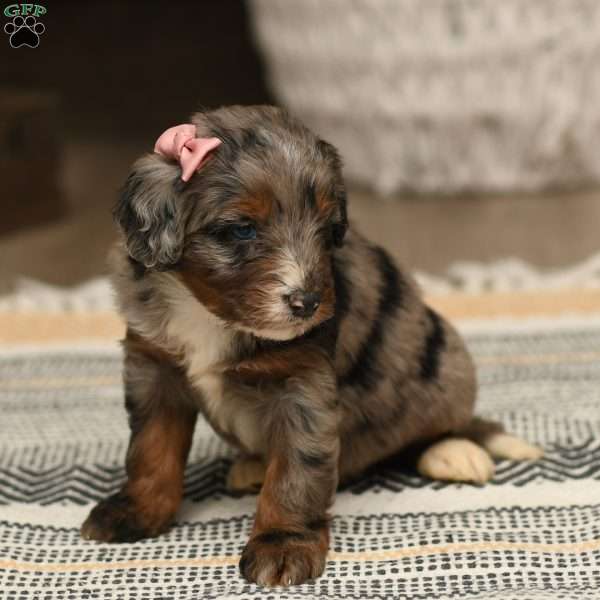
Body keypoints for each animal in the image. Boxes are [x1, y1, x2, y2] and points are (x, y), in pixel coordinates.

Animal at [81, 104, 544, 584]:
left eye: (327, 227)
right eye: (241, 229)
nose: (308, 302)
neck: (206, 312)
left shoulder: (303, 384)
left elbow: (296, 469)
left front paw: (282, 543)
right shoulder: (153, 366)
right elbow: (151, 449)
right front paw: (136, 511)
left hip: (446, 365)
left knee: (437, 427)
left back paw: (454, 451)